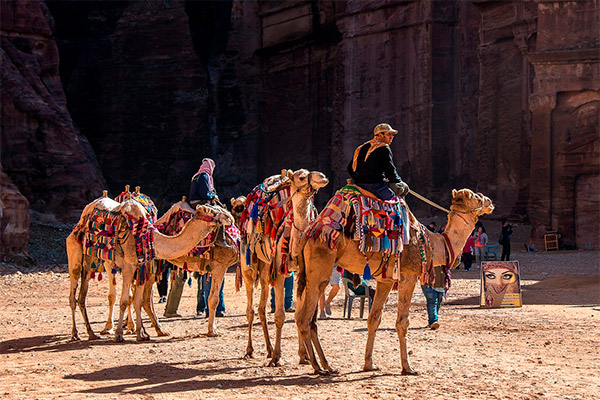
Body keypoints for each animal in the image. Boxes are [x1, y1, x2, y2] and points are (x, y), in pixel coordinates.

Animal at [67, 195, 233, 342]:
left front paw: (141, 334)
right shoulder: (129, 266)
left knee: (82, 296)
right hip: (75, 252)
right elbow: (125, 300)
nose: (230, 217)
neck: (150, 237)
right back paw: (76, 334)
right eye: (212, 211)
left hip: (92, 260)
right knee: (73, 294)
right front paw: (119, 334)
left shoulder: (142, 267)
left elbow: (138, 300)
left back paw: (92, 333)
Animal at [241, 169, 330, 366]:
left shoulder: (300, 273)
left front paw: (303, 356)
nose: (322, 176)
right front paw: (277, 357)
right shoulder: (280, 273)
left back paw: (267, 349)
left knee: (261, 308)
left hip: (266, 268)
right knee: (250, 309)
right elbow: (280, 316)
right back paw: (251, 350)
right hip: (248, 264)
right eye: (302, 177)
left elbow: (297, 316)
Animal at [292, 188, 494, 376]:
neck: (433, 243)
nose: (490, 202)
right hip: (320, 269)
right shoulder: (408, 276)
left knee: (306, 318)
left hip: (307, 275)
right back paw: (318, 366)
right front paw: (408, 367)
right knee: (304, 319)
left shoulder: (385, 280)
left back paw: (326, 365)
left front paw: (369, 364)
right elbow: (402, 322)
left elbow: (374, 319)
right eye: (477, 197)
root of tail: (308, 234)